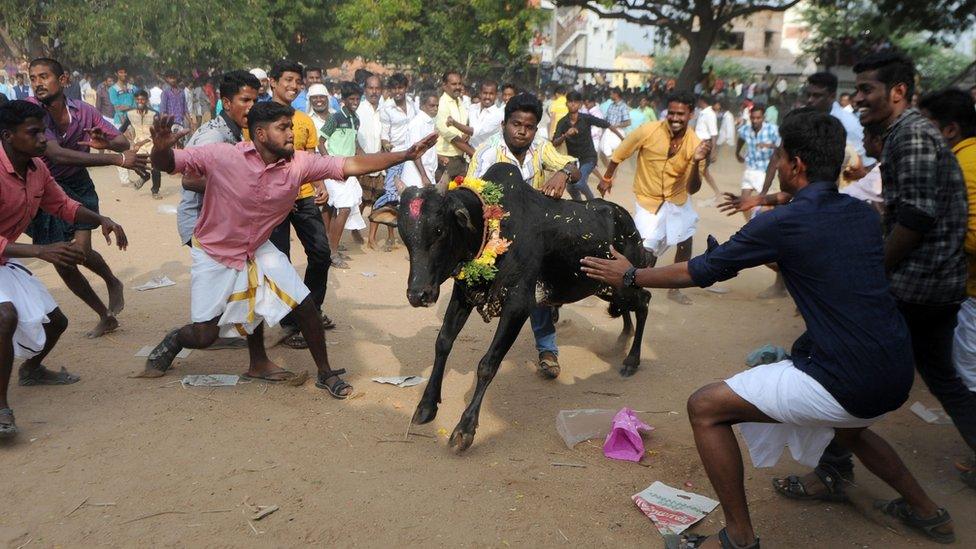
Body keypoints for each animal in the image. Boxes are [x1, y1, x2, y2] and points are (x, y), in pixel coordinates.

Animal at [396, 164, 648, 454]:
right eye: (403, 233)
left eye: (439, 230)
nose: (418, 294)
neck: (492, 224)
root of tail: (626, 220)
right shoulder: (463, 295)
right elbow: (443, 343)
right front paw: (427, 405)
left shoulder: (517, 307)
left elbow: (487, 364)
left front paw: (465, 428)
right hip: (606, 288)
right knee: (629, 307)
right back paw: (623, 338)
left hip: (623, 281)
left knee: (645, 300)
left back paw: (632, 360)